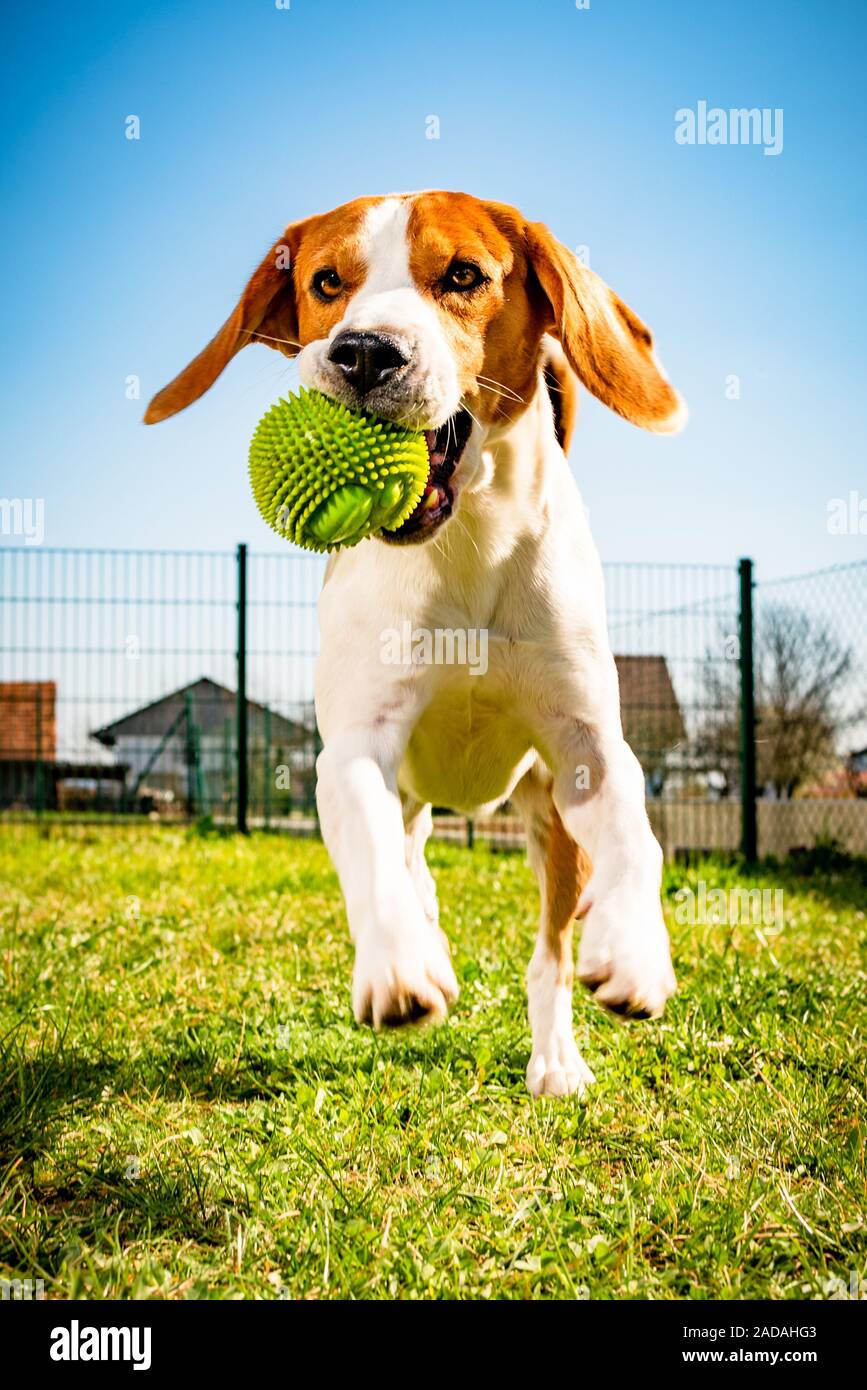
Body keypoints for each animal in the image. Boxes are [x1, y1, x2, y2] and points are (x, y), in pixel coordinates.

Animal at [145, 190, 686, 1095]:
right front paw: (399, 967)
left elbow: (634, 840)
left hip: (547, 820)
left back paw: (555, 1060)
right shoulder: (354, 749)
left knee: (547, 949)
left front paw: (635, 947)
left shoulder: (586, 745)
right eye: (327, 283)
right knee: (406, 855)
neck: (463, 547)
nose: (364, 352)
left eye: (463, 276)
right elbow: (369, 842)